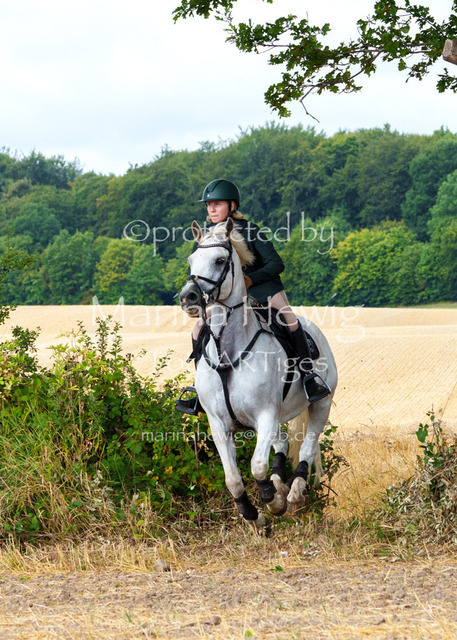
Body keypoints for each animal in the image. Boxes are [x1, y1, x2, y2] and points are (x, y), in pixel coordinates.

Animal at [179, 218, 338, 529]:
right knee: (283, 443)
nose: (189, 297)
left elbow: (258, 466)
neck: (228, 352)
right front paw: (254, 516)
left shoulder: (265, 415)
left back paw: (294, 492)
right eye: (191, 260)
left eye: (220, 260)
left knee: (307, 447)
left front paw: (273, 502)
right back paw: (280, 483)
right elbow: (233, 479)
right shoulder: (219, 424)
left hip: (320, 403)